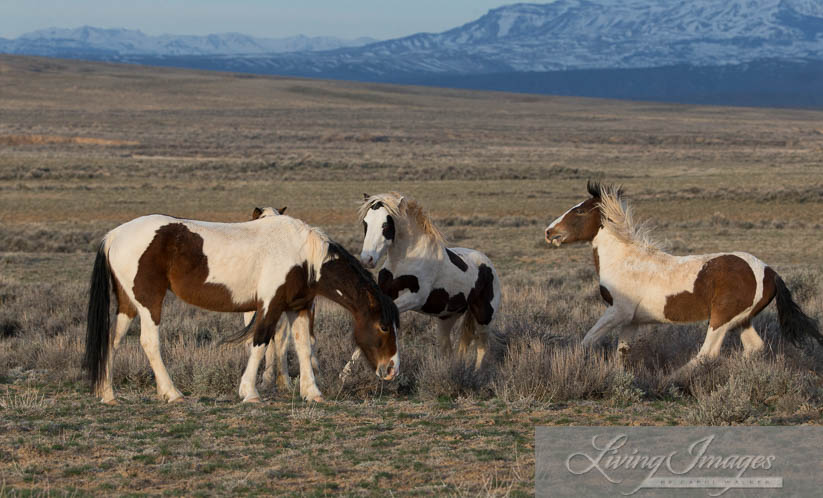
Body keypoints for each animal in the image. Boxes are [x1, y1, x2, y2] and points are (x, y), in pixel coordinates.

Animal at [344, 193, 498, 372]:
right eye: (365, 223)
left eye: (385, 224)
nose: (367, 259)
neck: (404, 259)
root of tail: (489, 265)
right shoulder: (386, 295)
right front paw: (345, 373)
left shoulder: (415, 298)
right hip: (447, 319)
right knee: (449, 350)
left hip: (484, 317)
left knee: (482, 346)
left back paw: (476, 373)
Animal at [544, 181, 820, 368]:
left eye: (579, 211)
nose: (549, 232)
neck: (624, 260)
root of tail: (770, 272)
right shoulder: (632, 321)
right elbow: (622, 351)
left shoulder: (618, 312)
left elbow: (587, 340)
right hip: (742, 320)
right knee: (754, 348)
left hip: (721, 318)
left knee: (707, 353)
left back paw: (674, 378)